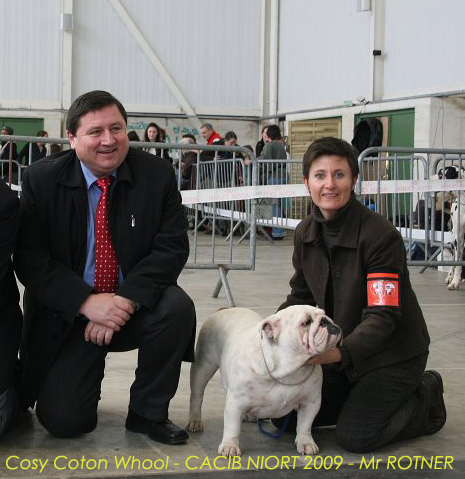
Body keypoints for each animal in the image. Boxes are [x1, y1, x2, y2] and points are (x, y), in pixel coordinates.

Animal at [186, 305, 342, 457]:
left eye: (325, 314)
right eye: (306, 322)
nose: (327, 321)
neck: (287, 371)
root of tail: (225, 309)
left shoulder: (310, 402)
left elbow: (305, 424)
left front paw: (306, 442)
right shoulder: (235, 402)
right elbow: (232, 426)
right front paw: (230, 446)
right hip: (203, 367)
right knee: (197, 396)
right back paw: (195, 421)